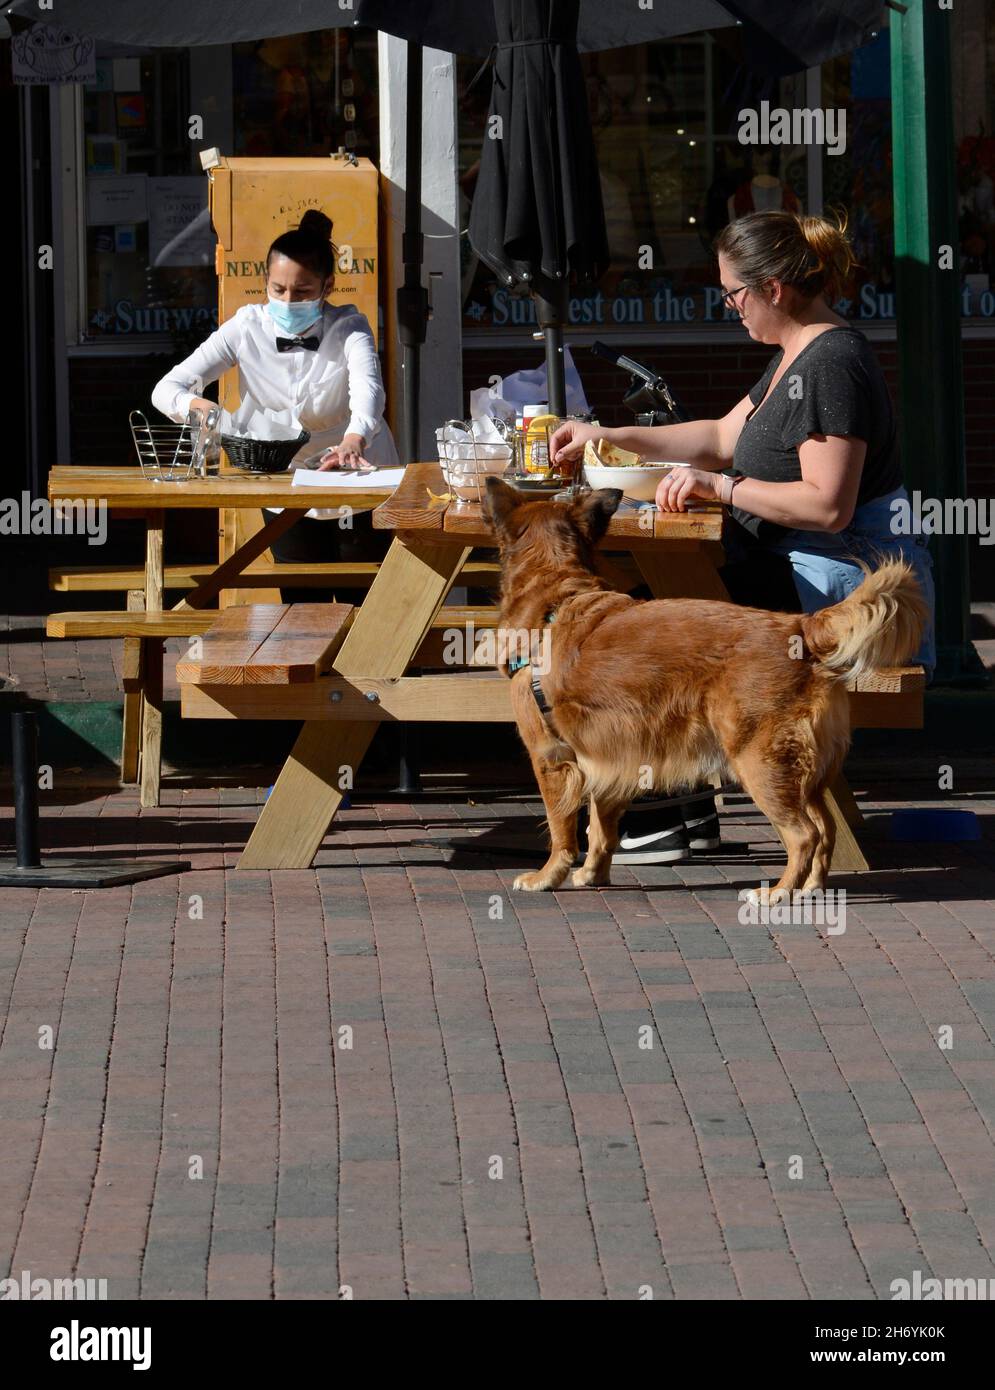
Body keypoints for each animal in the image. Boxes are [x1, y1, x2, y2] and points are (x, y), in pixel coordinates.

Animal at [480, 478, 922, 900]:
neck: (556, 594)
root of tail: (800, 625)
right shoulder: (614, 754)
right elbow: (602, 828)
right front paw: (593, 873)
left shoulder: (551, 759)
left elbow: (562, 830)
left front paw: (547, 876)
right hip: (806, 774)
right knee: (825, 827)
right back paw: (811, 887)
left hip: (759, 762)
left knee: (804, 835)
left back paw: (779, 894)